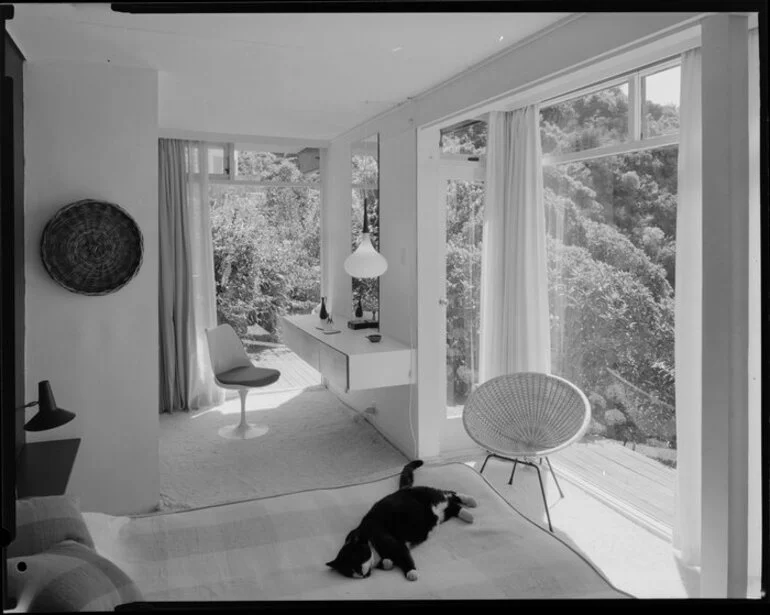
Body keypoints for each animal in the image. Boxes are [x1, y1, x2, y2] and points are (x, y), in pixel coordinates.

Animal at [322, 462, 474, 584]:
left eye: (357, 560)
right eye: (349, 571)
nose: (359, 574)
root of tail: (404, 489)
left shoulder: (394, 544)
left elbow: (404, 557)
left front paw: (411, 573)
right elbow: (388, 562)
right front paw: (387, 563)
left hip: (435, 500)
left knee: (450, 493)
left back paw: (470, 504)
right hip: (440, 515)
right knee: (453, 506)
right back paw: (467, 512)